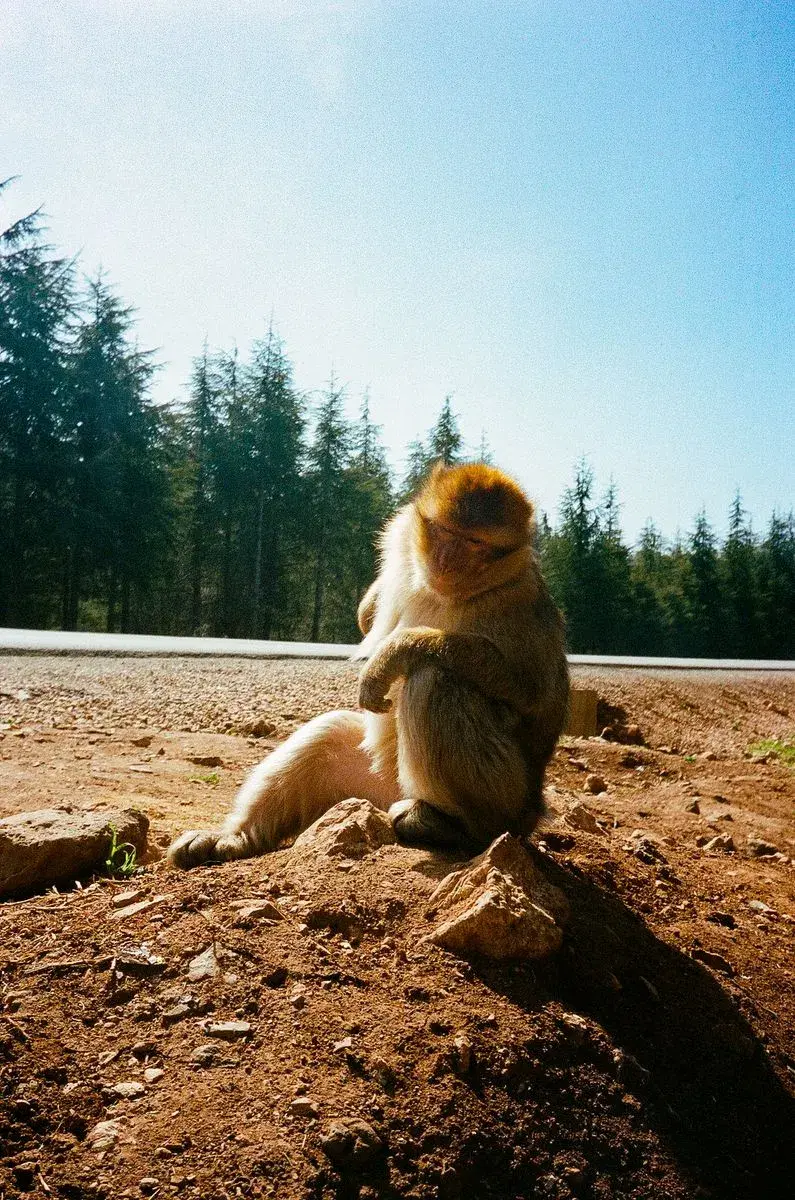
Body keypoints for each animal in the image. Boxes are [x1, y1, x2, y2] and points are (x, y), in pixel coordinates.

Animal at [168, 462, 569, 868]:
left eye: (474, 543)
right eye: (445, 532)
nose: (445, 561)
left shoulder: (520, 602)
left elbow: (536, 697)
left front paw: (397, 651)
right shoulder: (404, 537)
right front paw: (373, 605)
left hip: (509, 797)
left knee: (435, 680)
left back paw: (457, 826)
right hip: (376, 784)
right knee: (328, 733)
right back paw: (234, 838)